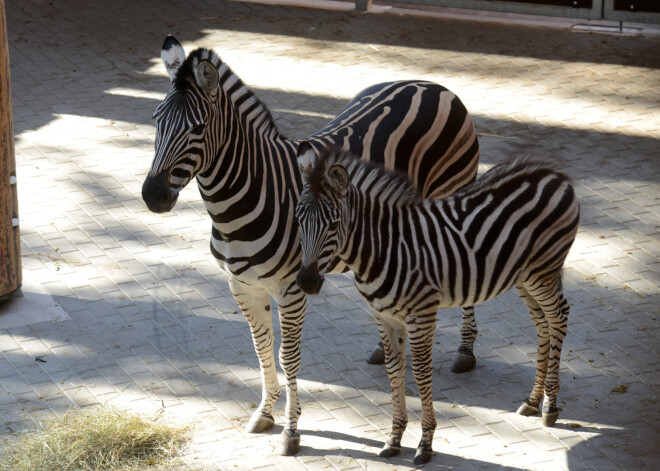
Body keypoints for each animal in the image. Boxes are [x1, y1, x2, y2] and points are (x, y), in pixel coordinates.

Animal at [141, 35, 480, 456]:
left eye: (199, 127)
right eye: (156, 120)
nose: (153, 196)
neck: (239, 203)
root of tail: (431, 84)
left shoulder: (291, 288)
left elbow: (288, 356)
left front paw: (290, 431)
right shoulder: (242, 285)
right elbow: (261, 348)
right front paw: (264, 413)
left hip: (454, 192)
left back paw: (465, 352)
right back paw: (382, 346)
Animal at [296, 144, 580, 464]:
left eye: (333, 225)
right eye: (298, 219)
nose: (306, 281)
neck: (384, 248)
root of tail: (554, 173)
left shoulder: (422, 315)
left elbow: (421, 373)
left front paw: (425, 443)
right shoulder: (384, 316)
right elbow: (394, 370)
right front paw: (394, 438)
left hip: (542, 271)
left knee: (558, 317)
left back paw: (550, 405)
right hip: (524, 277)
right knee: (544, 325)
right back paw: (532, 400)